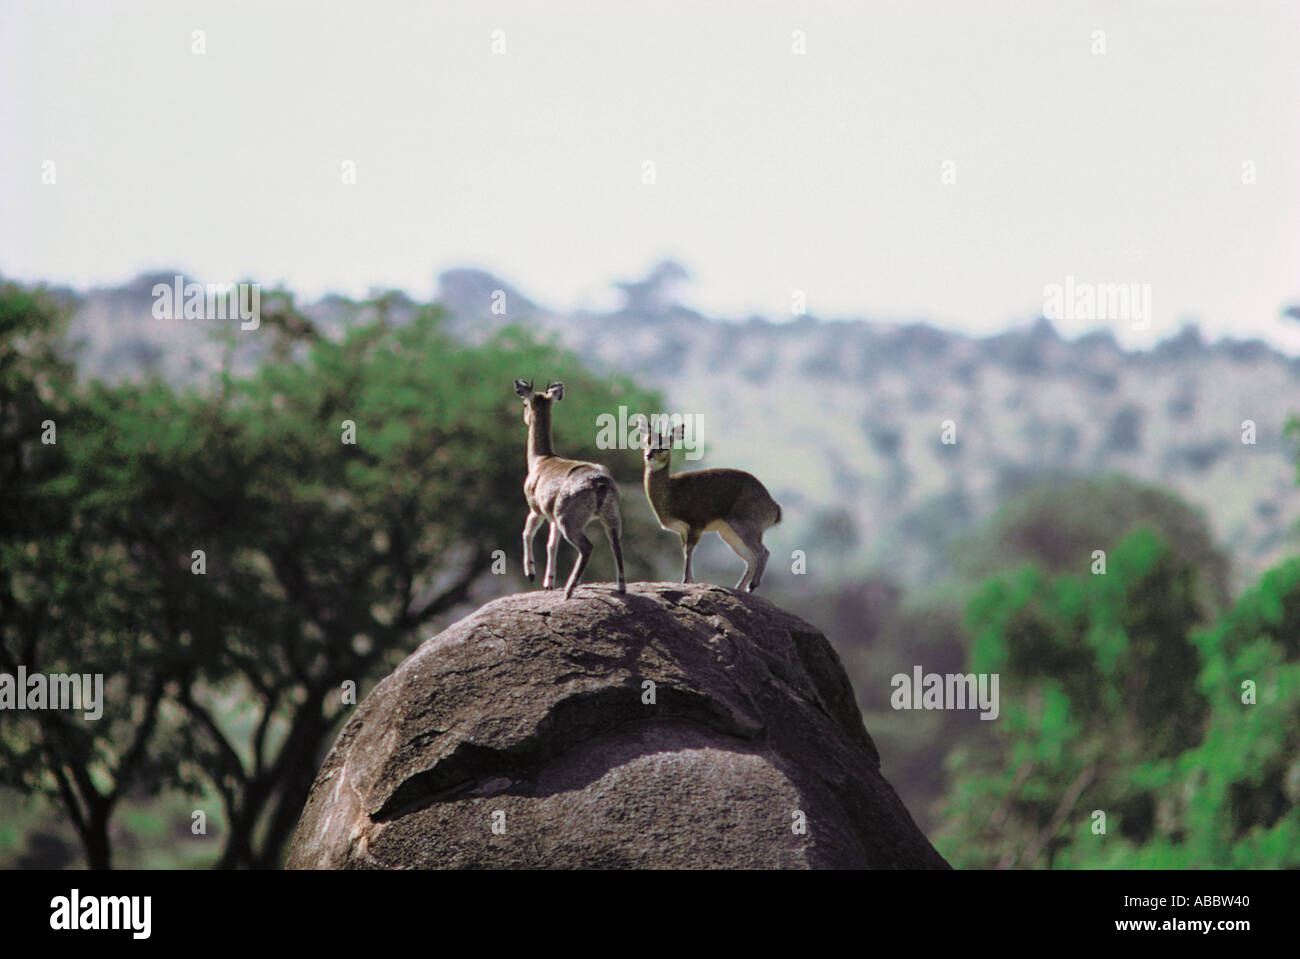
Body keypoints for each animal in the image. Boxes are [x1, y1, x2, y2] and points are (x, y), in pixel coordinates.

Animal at [512, 376, 624, 595]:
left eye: (524, 404)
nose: (524, 417)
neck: (540, 460)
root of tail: (599, 483)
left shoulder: (537, 509)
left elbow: (527, 532)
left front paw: (531, 574)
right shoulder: (552, 516)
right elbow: (551, 545)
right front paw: (549, 582)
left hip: (569, 519)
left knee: (587, 547)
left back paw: (570, 588)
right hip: (611, 516)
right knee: (615, 543)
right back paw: (620, 588)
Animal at [639, 421, 780, 589]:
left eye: (665, 446)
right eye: (646, 441)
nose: (649, 455)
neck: (672, 491)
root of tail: (774, 508)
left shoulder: (696, 525)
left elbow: (689, 551)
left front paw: (686, 580)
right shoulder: (683, 530)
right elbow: (685, 551)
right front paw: (689, 580)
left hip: (745, 525)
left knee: (763, 552)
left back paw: (752, 585)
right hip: (728, 533)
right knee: (751, 559)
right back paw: (740, 588)